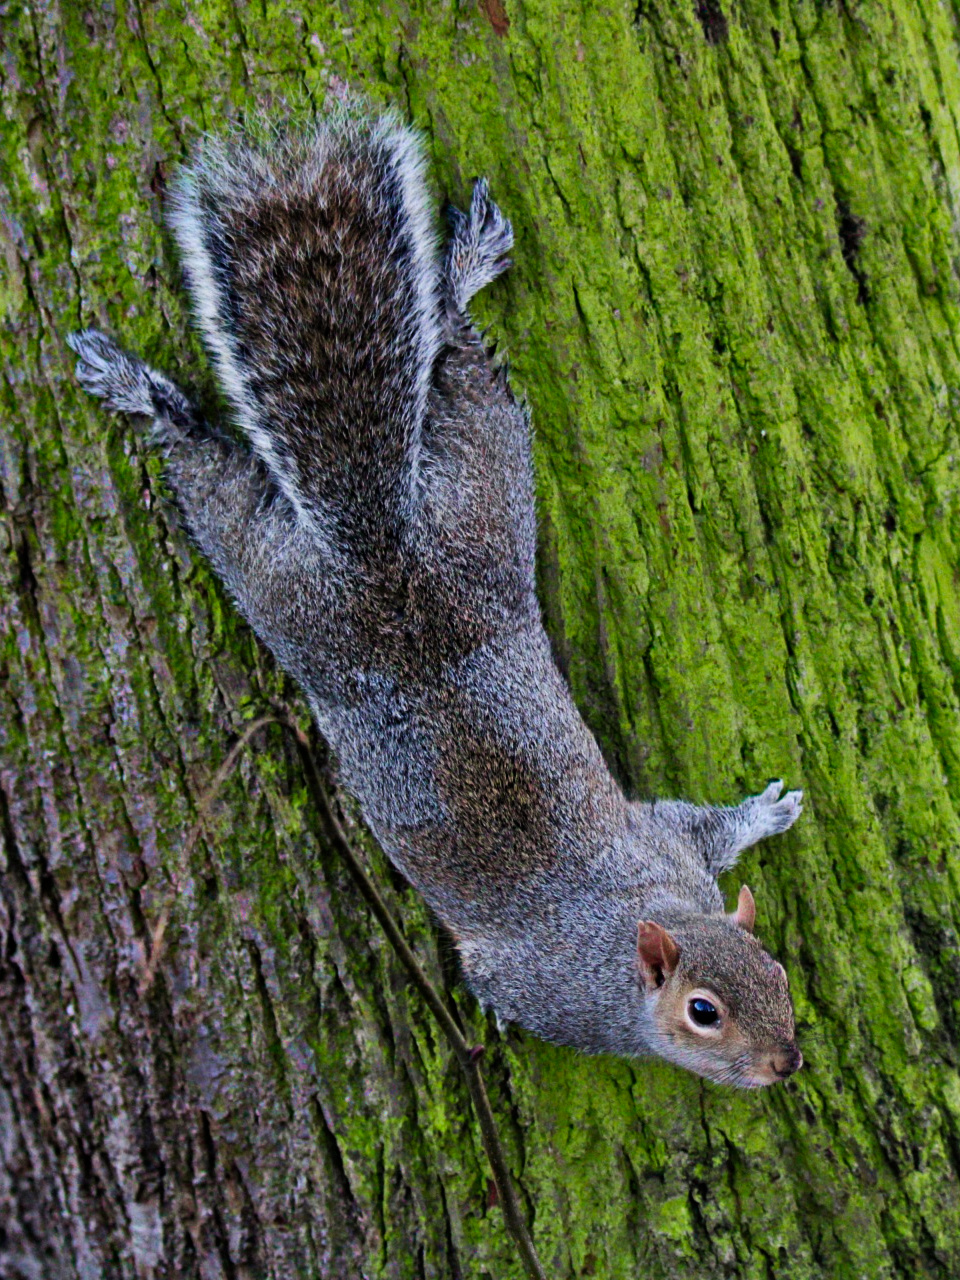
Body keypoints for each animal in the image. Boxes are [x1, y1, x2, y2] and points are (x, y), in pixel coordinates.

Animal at [68, 106, 804, 1088]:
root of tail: (380, 554)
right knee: (214, 465)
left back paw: (464, 267)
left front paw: (765, 812)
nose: (788, 1063)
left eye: (776, 968)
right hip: (287, 584)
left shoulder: (668, 843)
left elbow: (707, 825)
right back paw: (143, 395)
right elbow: (509, 988)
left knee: (449, 361)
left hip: (474, 499)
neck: (633, 926)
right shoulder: (548, 975)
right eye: (704, 1013)